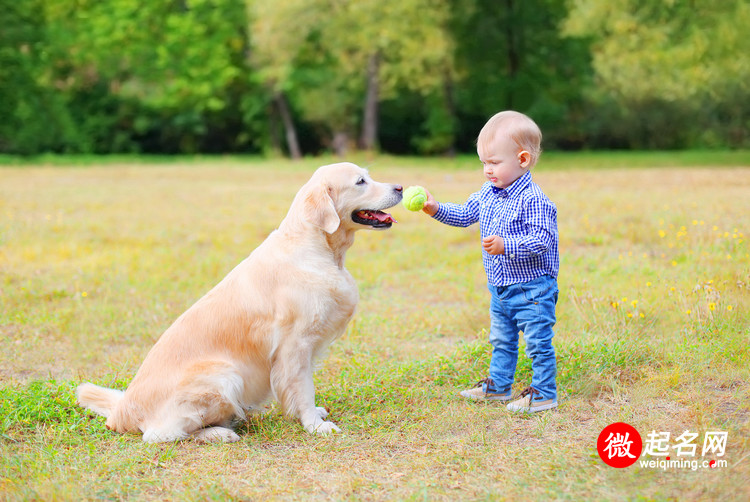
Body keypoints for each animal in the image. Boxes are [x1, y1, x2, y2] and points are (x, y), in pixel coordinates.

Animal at [77, 163, 406, 442]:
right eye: (360, 182)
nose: (401, 187)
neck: (319, 250)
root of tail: (122, 410)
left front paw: (314, 415)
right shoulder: (295, 345)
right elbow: (303, 388)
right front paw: (314, 425)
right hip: (224, 375)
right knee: (160, 434)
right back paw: (219, 433)